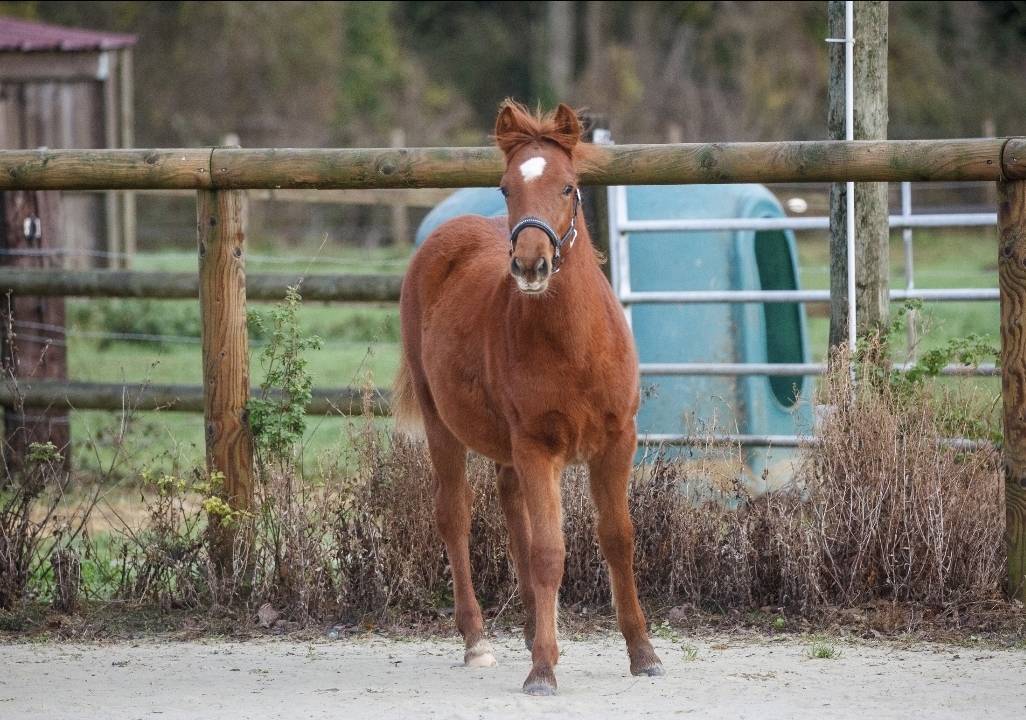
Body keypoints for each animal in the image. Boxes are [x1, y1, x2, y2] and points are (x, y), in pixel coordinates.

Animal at [393, 100, 663, 695]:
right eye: (505, 187)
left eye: (568, 187)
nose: (531, 264)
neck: (575, 344)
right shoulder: (539, 447)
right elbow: (547, 552)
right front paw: (542, 668)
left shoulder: (618, 441)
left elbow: (618, 538)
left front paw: (643, 653)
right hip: (442, 424)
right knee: (455, 515)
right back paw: (477, 641)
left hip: (507, 446)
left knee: (511, 510)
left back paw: (529, 628)